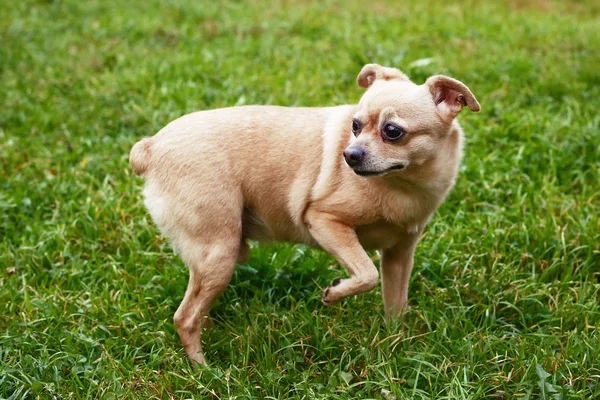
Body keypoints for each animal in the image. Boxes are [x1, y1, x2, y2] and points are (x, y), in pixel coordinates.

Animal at [130, 63, 478, 366]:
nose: (349, 154)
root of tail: (151, 146)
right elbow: (367, 274)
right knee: (185, 316)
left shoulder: (399, 255)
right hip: (219, 252)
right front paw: (334, 293)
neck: (403, 186)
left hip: (225, 252)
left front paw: (395, 349)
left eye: (392, 131)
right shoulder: (324, 221)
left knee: (195, 308)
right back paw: (203, 369)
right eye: (355, 126)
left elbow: (396, 305)